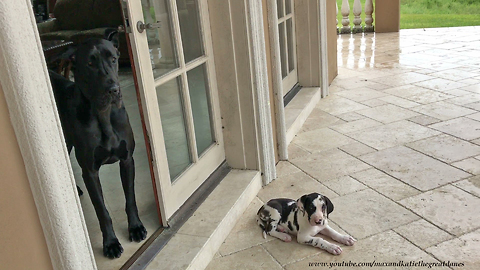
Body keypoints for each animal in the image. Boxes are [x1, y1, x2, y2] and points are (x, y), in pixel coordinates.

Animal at [49, 29, 147, 258]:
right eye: (89, 64)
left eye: (113, 59)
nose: (113, 89)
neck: (103, 115)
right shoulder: (90, 171)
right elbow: (102, 211)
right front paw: (110, 243)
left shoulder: (127, 159)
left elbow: (130, 199)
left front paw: (135, 227)